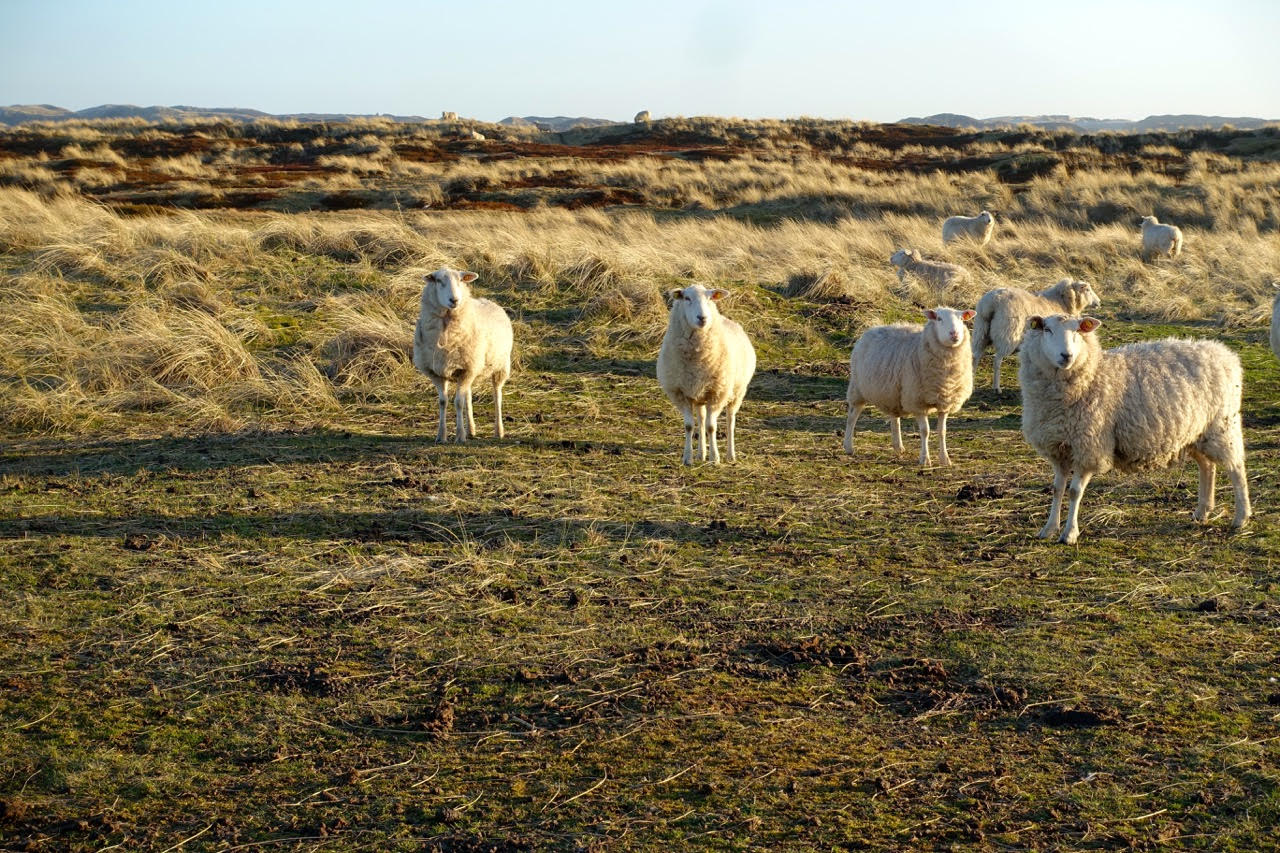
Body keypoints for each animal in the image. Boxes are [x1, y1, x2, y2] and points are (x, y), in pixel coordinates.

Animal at [409, 266, 509, 440]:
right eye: (438, 281)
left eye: (461, 280)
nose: (454, 300)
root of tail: (488, 300)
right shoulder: (438, 372)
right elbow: (443, 402)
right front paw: (441, 435)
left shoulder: (467, 369)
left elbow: (458, 403)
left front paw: (460, 435)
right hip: (470, 368)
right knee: (468, 395)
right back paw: (471, 430)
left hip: (500, 366)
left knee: (497, 395)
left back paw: (498, 430)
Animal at [655, 281, 752, 461]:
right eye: (686, 298)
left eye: (709, 298)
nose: (703, 318)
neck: (696, 359)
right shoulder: (681, 393)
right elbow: (689, 426)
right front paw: (688, 458)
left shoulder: (716, 393)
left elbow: (711, 427)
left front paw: (715, 458)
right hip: (699, 396)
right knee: (700, 420)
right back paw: (701, 454)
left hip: (736, 391)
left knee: (730, 420)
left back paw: (730, 455)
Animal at [844, 306, 972, 466]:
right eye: (939, 318)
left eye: (961, 319)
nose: (954, 334)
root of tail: (871, 329)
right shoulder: (917, 401)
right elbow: (925, 431)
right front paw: (925, 459)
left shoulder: (945, 402)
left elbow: (942, 431)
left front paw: (945, 459)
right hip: (858, 388)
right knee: (852, 416)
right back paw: (848, 447)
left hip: (891, 392)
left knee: (894, 418)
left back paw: (898, 447)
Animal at [967, 277, 1100, 394]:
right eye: (1087, 290)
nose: (1098, 302)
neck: (1061, 302)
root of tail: (992, 302)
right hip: (1007, 335)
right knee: (997, 360)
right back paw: (997, 388)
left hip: (981, 331)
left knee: (975, 357)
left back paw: (971, 386)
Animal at [1018, 313, 1249, 545]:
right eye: (1047, 329)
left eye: (1078, 331)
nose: (1066, 356)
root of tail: (1223, 353)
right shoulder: (1058, 447)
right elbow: (1057, 489)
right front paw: (1049, 529)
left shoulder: (1089, 446)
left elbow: (1074, 492)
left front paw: (1069, 533)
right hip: (1196, 432)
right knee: (1207, 466)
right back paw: (1202, 512)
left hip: (1223, 425)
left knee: (1236, 467)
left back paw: (1241, 517)